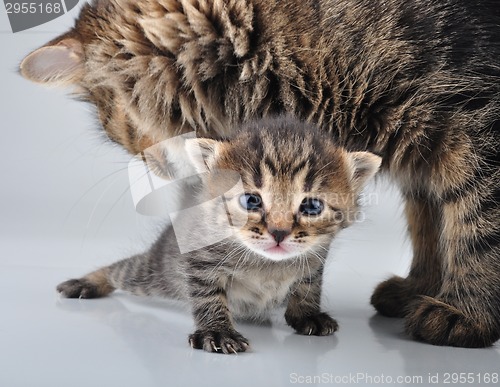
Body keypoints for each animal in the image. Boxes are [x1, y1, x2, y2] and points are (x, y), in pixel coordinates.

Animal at [55, 117, 382, 354]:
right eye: (251, 201)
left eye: (312, 206)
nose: (278, 232)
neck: (267, 264)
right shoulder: (199, 260)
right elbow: (207, 294)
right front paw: (217, 331)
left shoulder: (315, 256)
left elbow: (308, 284)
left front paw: (306, 314)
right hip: (155, 274)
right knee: (121, 270)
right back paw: (87, 282)